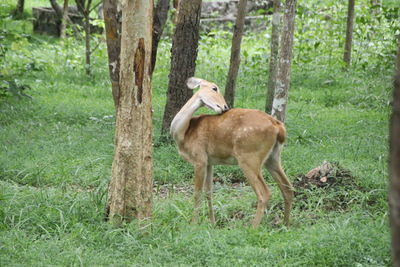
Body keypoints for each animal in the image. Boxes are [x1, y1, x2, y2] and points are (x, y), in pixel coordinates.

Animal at [169, 77, 294, 228]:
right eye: (214, 88)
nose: (225, 107)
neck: (184, 133)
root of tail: (278, 127)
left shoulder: (199, 158)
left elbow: (197, 193)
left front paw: (193, 224)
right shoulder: (209, 162)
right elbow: (209, 191)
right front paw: (213, 222)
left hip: (249, 156)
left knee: (264, 192)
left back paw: (253, 227)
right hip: (273, 157)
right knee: (288, 188)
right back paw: (286, 224)